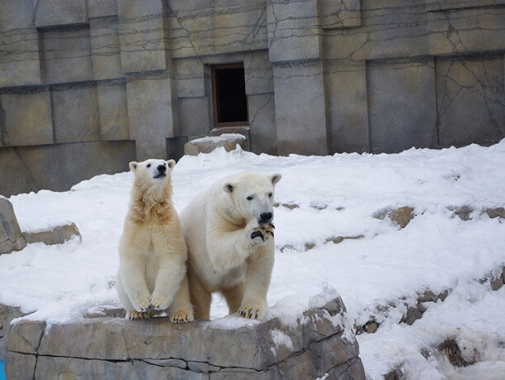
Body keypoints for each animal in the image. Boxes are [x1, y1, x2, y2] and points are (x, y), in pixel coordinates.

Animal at [116, 159, 193, 322]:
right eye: (148, 164)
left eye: (165, 163)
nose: (162, 167)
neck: (151, 213)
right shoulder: (135, 226)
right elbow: (132, 256)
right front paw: (144, 303)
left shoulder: (169, 226)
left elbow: (171, 255)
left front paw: (156, 301)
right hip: (121, 284)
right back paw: (136, 313)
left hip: (181, 284)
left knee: (180, 296)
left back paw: (180, 315)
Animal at [180, 172, 284, 320]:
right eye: (249, 197)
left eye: (269, 194)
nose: (265, 215)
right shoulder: (217, 213)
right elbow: (217, 247)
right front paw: (254, 231)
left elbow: (260, 260)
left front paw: (250, 310)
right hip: (196, 275)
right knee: (200, 301)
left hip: (234, 281)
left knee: (237, 295)